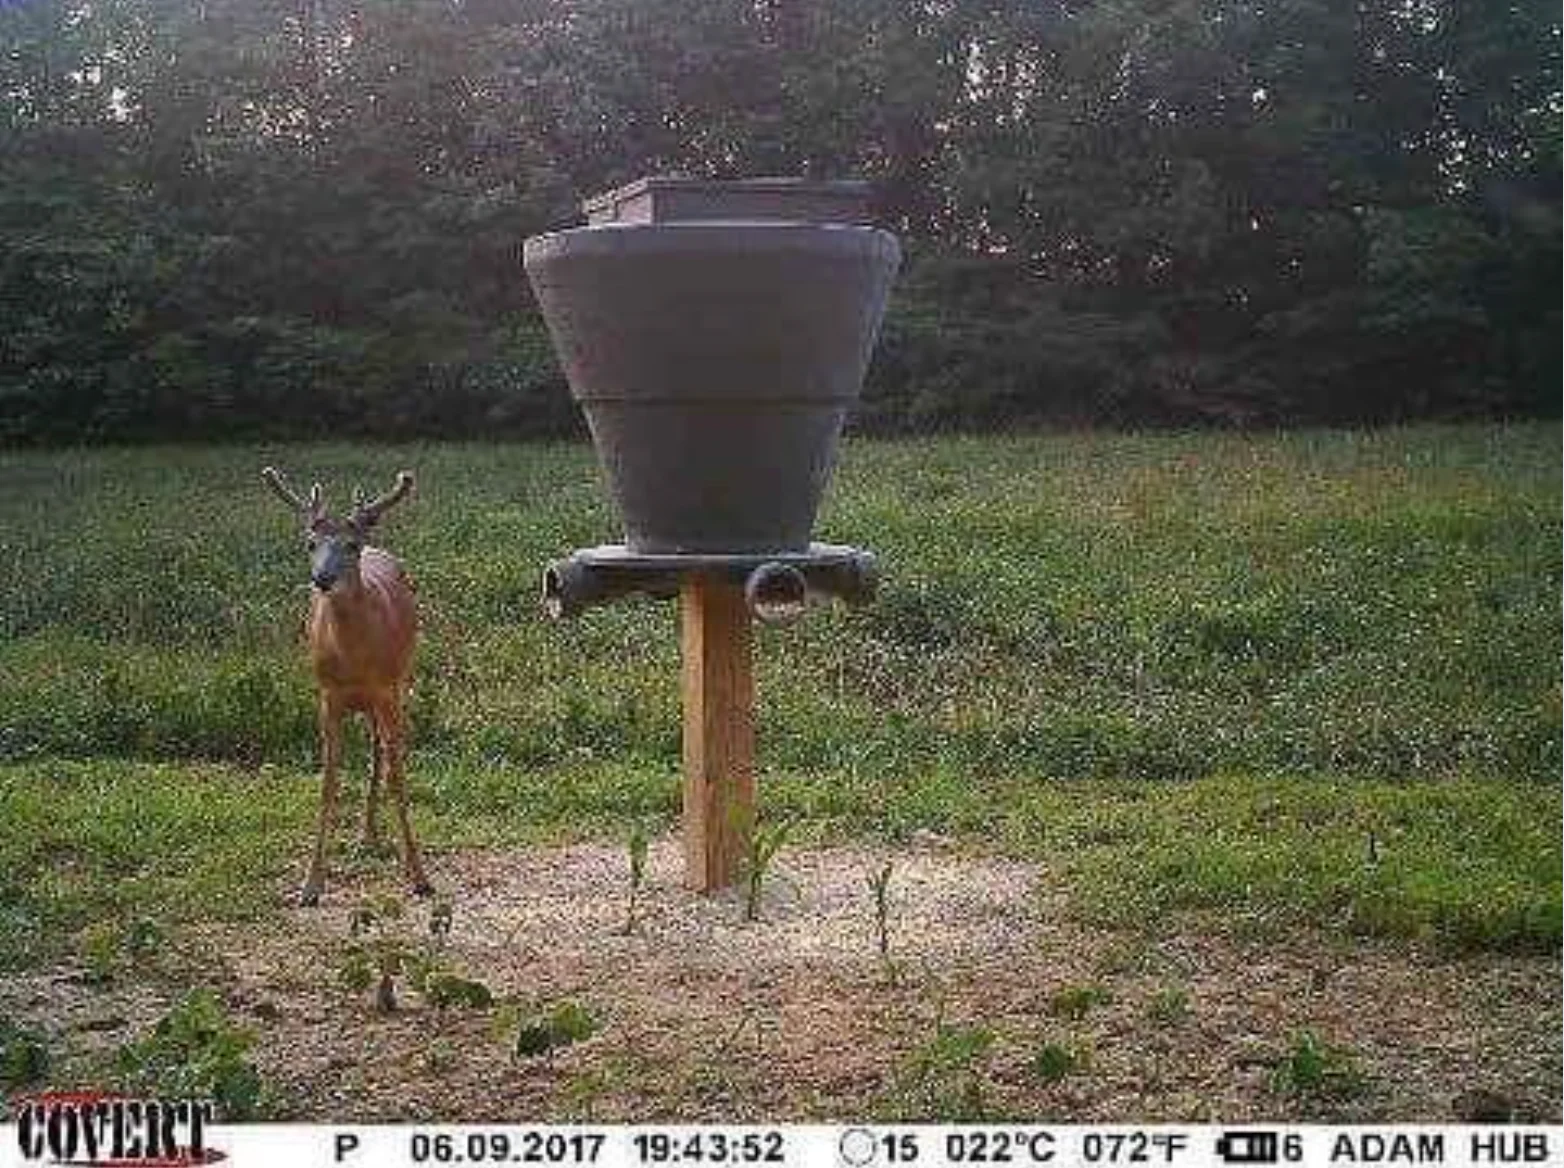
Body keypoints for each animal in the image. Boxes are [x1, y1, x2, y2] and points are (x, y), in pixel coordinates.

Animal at [262, 465, 432, 906]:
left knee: (380, 752)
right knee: (373, 750)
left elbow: (397, 779)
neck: (355, 659)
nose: (322, 578)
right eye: (310, 543)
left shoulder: (387, 690)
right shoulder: (327, 697)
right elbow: (328, 782)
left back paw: (372, 836)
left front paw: (418, 875)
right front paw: (310, 884)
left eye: (351, 545)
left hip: (398, 683)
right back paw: (366, 835)